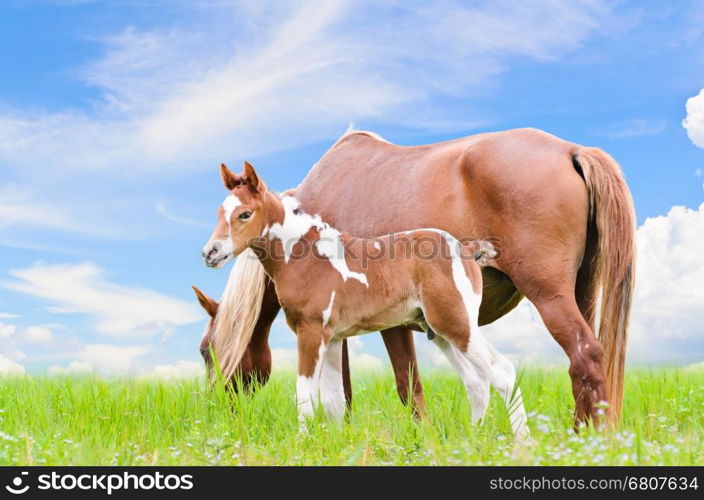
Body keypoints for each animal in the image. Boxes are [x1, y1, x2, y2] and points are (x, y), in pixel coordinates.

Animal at [220, 162, 528, 436]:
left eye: (245, 214)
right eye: (220, 213)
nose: (212, 253)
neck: (308, 257)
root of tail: (465, 249)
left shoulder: (311, 333)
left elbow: (305, 394)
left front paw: (304, 443)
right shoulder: (333, 339)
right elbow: (334, 399)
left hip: (457, 324)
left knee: (502, 372)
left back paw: (521, 442)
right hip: (440, 333)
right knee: (477, 383)